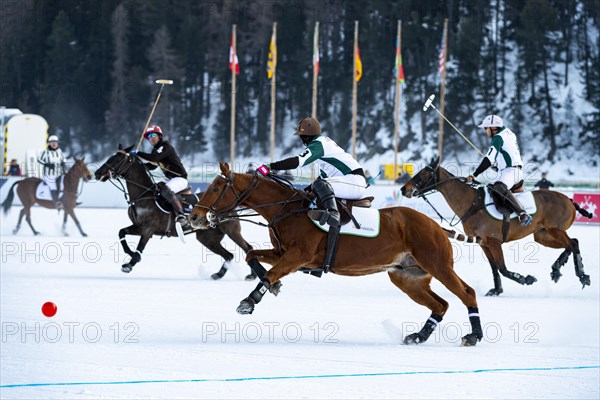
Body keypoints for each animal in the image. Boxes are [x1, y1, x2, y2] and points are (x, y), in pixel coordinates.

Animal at [94, 145, 255, 280]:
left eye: (117, 159)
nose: (97, 173)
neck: (143, 194)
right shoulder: (139, 226)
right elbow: (121, 232)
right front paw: (130, 253)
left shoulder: (148, 228)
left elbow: (140, 246)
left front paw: (130, 263)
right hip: (207, 237)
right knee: (228, 255)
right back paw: (218, 274)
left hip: (231, 230)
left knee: (248, 248)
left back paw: (252, 275)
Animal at [190, 162, 486, 346]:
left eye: (216, 187)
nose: (194, 217)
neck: (287, 210)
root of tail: (437, 225)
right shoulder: (281, 252)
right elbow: (252, 254)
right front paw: (272, 288)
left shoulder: (299, 255)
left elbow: (269, 271)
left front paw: (249, 301)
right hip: (407, 277)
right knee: (440, 304)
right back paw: (418, 336)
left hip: (438, 264)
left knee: (466, 293)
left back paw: (474, 336)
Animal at [400, 158, 592, 296]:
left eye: (425, 174)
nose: (403, 189)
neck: (472, 203)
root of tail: (568, 199)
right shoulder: (483, 243)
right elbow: (494, 268)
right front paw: (496, 290)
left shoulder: (494, 241)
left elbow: (502, 268)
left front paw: (526, 279)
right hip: (543, 235)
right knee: (573, 242)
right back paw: (556, 270)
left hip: (555, 230)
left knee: (573, 244)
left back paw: (582, 276)